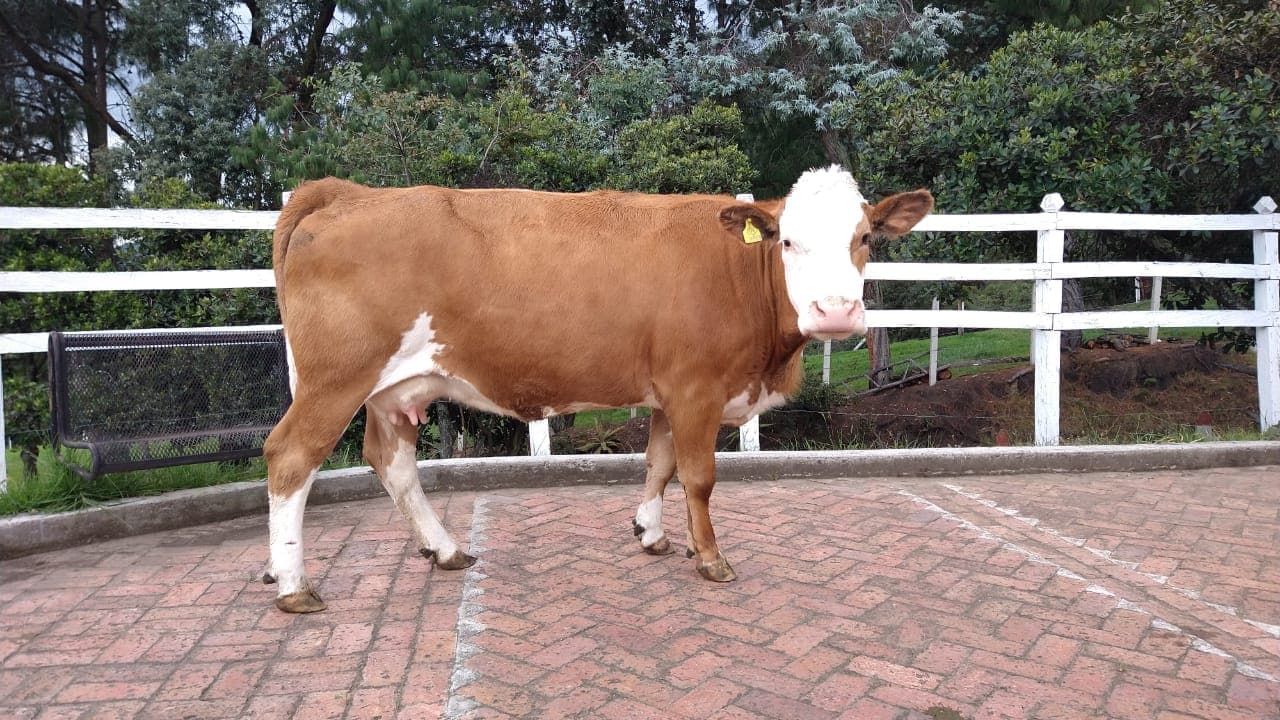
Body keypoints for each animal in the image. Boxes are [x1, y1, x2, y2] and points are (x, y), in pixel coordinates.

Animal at [263, 166, 933, 612]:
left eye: (865, 239)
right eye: (788, 240)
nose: (836, 311)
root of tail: (351, 193)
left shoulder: (669, 393)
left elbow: (659, 463)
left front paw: (653, 534)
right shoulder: (696, 388)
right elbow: (699, 476)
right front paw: (710, 557)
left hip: (393, 391)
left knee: (392, 463)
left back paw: (445, 549)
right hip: (335, 381)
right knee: (291, 459)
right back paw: (295, 585)